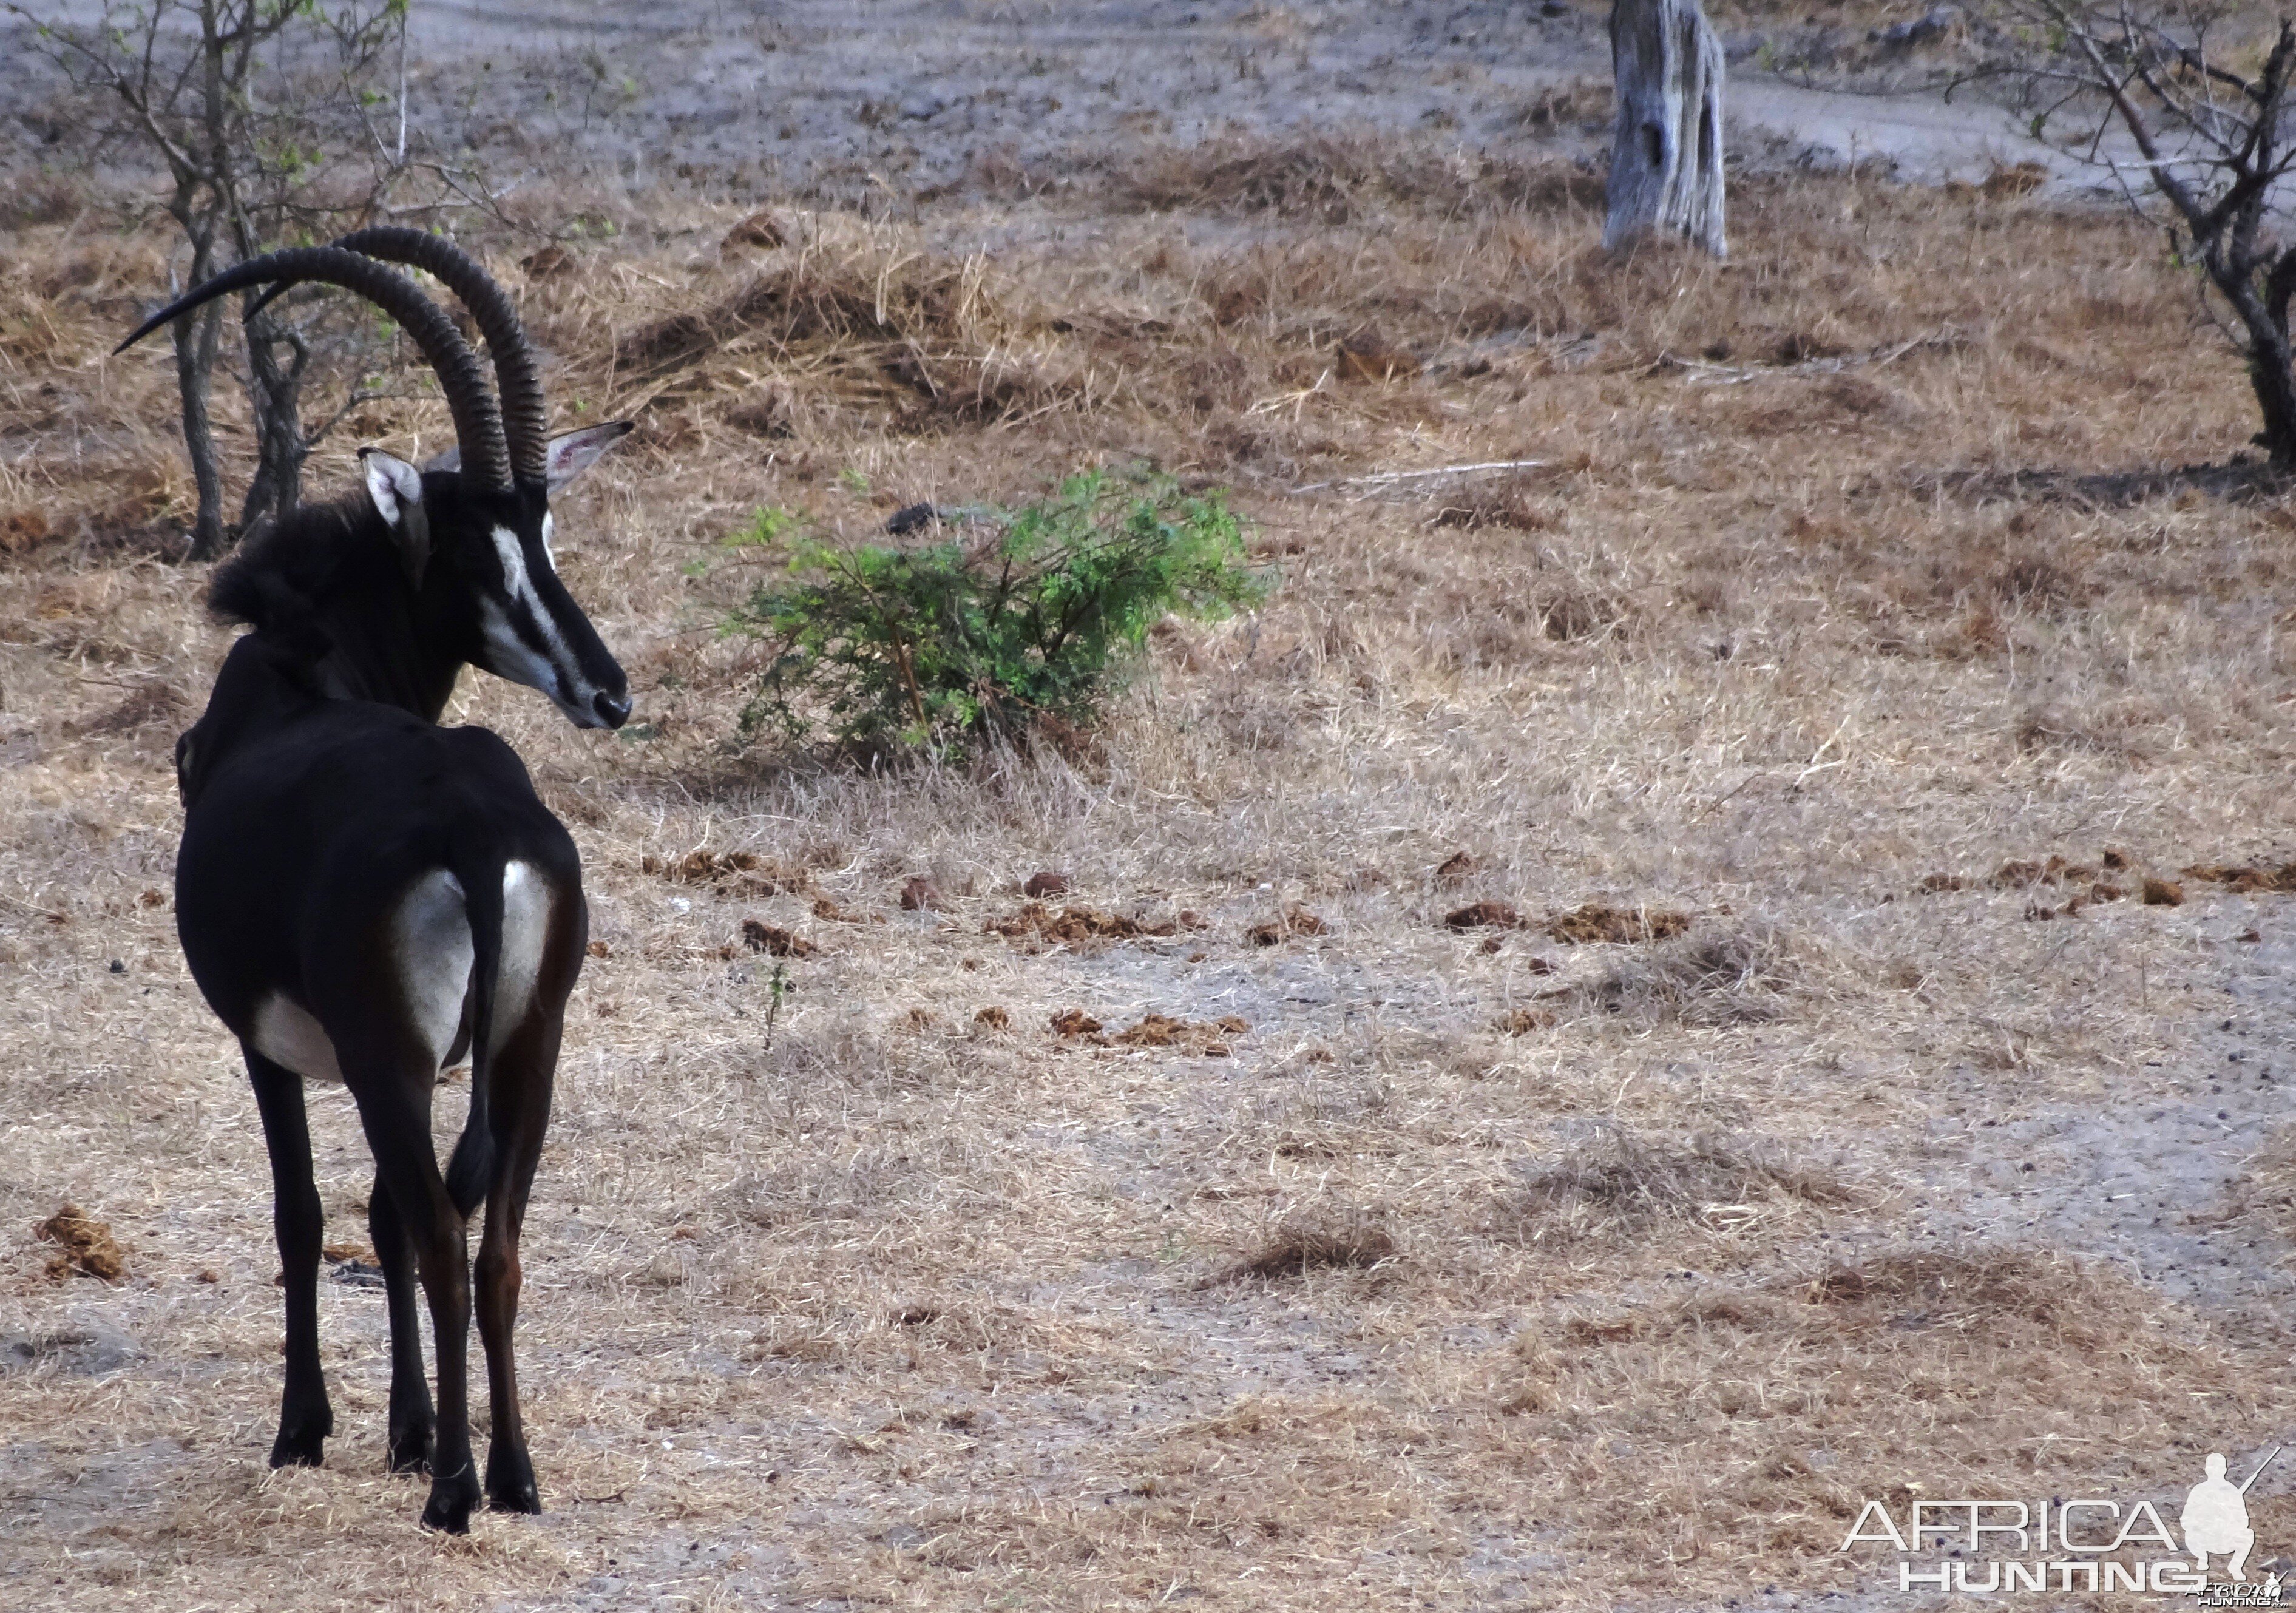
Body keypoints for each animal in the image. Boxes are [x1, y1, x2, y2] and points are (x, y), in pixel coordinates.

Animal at [131, 234, 643, 1532]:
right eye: (481, 547)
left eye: (544, 535)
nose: (608, 689)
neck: (300, 667)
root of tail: (470, 825)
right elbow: (379, 1217)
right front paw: (406, 1432)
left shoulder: (268, 1044)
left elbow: (308, 1212)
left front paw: (312, 1429)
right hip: (528, 1046)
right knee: (490, 1241)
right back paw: (512, 1473)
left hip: (390, 1057)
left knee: (437, 1233)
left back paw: (458, 1491)